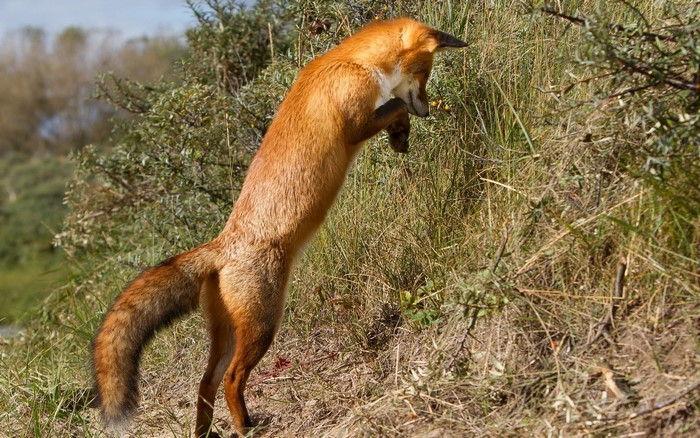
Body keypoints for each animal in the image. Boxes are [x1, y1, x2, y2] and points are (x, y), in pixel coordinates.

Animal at [91, 17, 466, 437]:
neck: (353, 62)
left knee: (205, 383)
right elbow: (395, 104)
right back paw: (245, 426)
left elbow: (395, 109)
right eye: (426, 73)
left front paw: (400, 137)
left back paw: (207, 431)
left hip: (229, 334)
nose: (428, 112)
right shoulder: (354, 125)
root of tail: (222, 245)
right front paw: (402, 129)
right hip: (263, 325)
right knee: (231, 379)